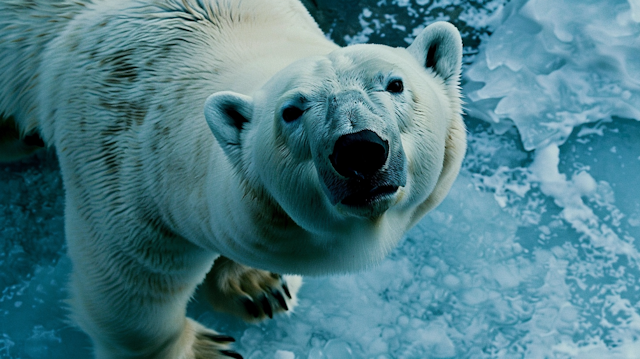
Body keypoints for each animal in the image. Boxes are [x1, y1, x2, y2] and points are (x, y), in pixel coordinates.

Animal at [0, 0, 462, 358]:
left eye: (395, 84)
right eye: (291, 111)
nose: (359, 149)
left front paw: (259, 286)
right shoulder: (120, 166)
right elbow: (130, 281)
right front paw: (200, 348)